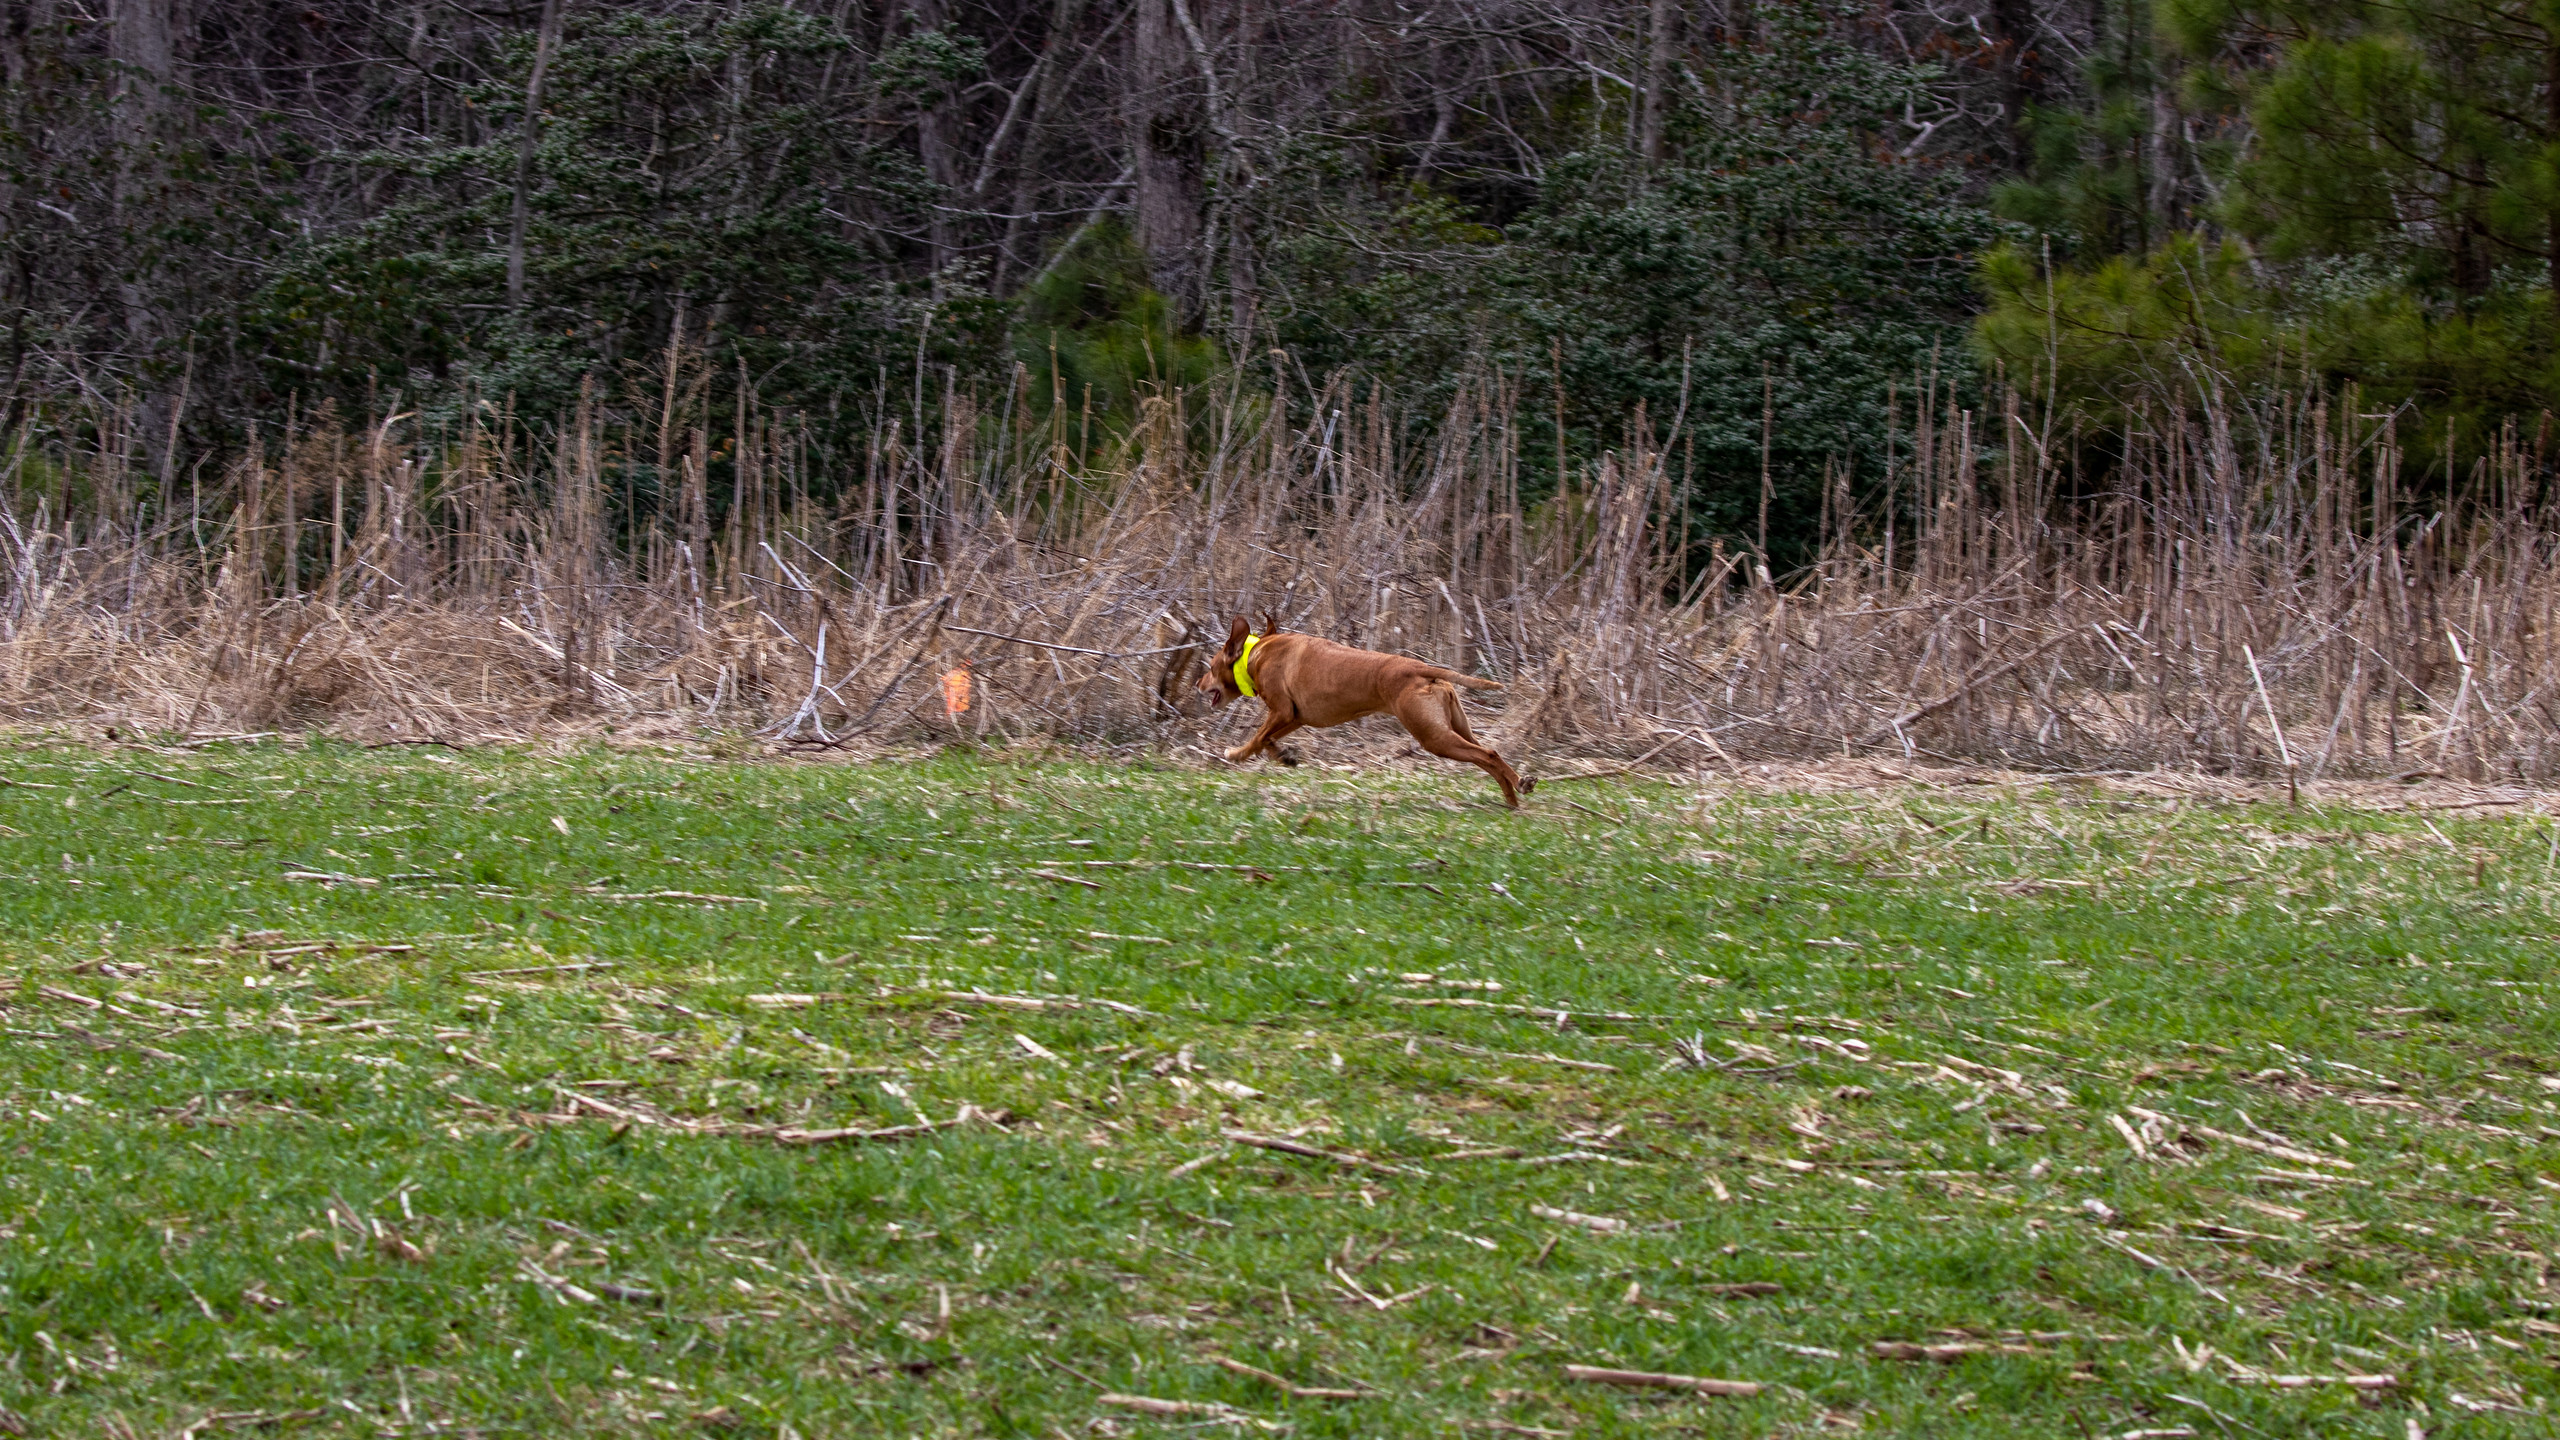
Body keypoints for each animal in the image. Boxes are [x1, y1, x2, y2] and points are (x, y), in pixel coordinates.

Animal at [1192, 609, 1525, 799]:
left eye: (1210, 667)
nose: (1197, 684)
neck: (1258, 652)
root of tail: (1421, 668)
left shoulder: (1283, 711)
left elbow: (1257, 738)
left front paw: (1236, 754)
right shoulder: (1295, 717)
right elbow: (1266, 739)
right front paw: (1282, 755)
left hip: (1434, 737)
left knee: (1488, 754)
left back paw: (1516, 791)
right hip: (1456, 727)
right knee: (1489, 754)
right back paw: (1514, 792)